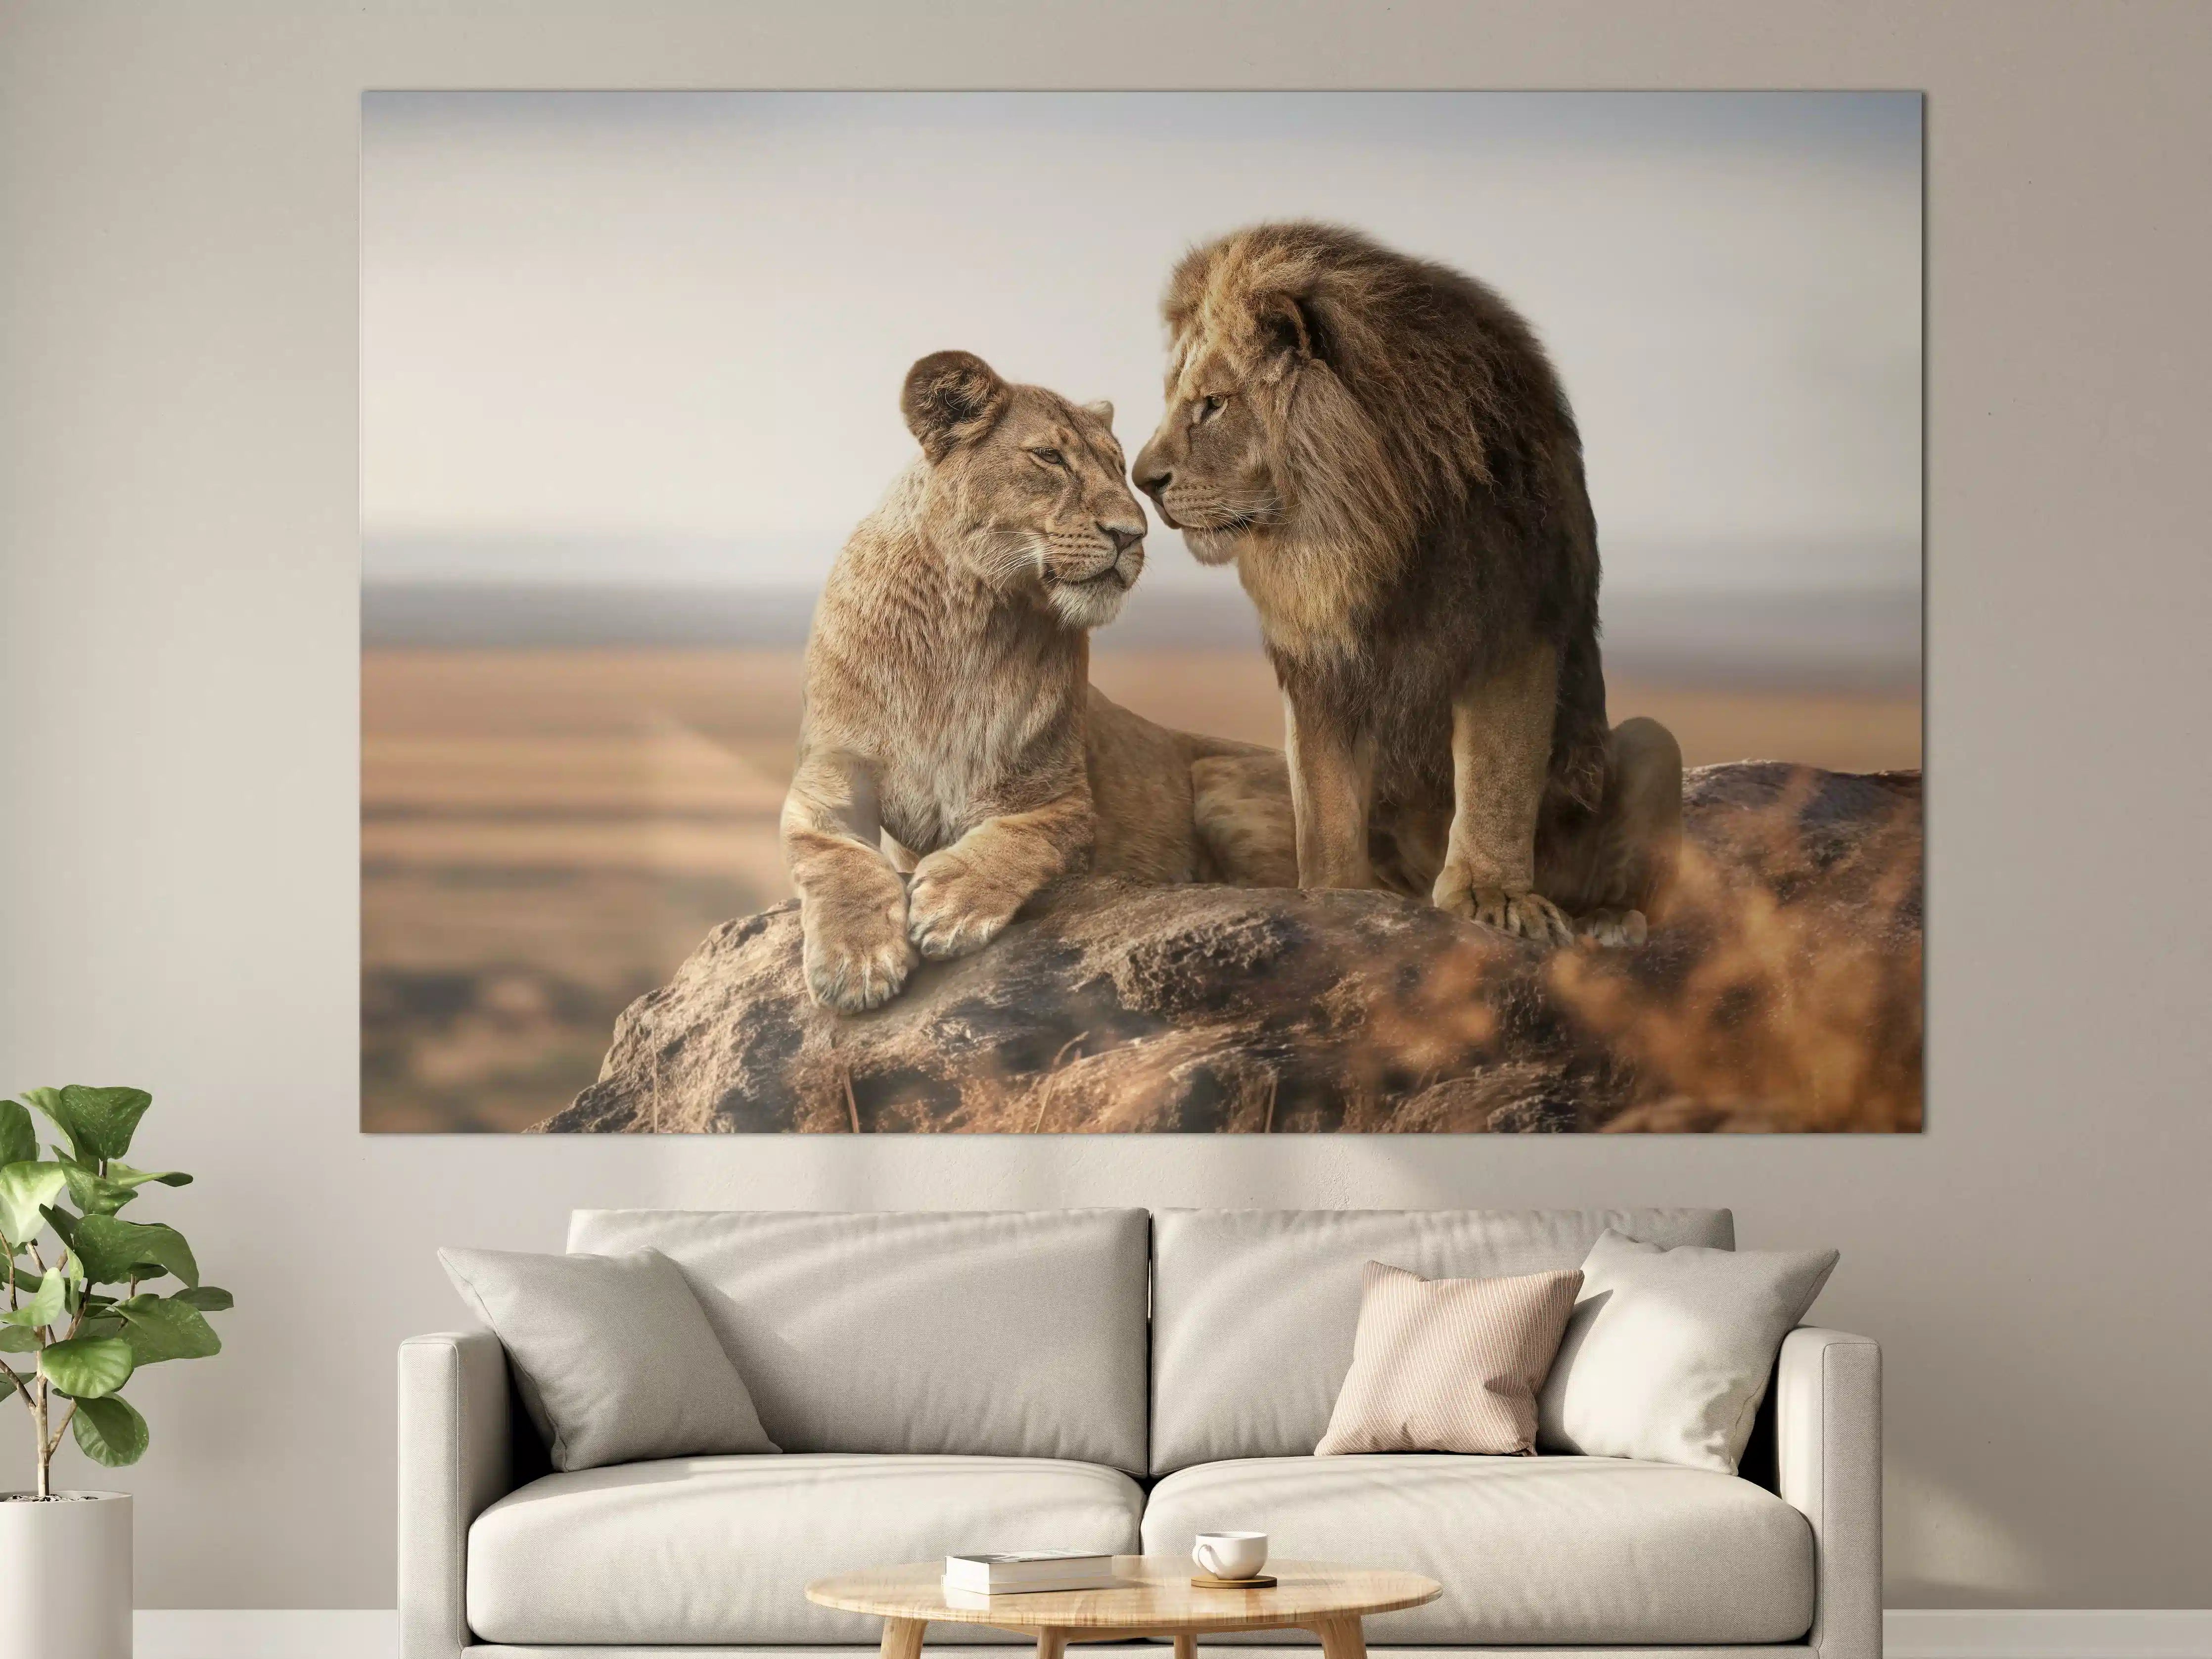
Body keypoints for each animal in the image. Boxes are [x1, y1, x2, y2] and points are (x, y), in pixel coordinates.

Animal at [781, 350, 1296, 1012]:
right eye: (1049, 457)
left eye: (1118, 466)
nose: (1132, 534)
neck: (962, 621)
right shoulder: (825, 778)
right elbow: (837, 859)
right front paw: (857, 961)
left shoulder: (1062, 797)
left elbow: (1019, 839)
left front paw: (952, 903)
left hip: (1218, 780)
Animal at [1130, 221, 1682, 945]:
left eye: (1212, 404)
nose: (1141, 481)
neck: (1365, 528)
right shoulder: (1317, 662)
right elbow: (1324, 795)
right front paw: (1335, 893)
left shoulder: (1512, 623)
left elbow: (1498, 777)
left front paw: (1492, 894)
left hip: (1653, 742)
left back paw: (1606, 921)